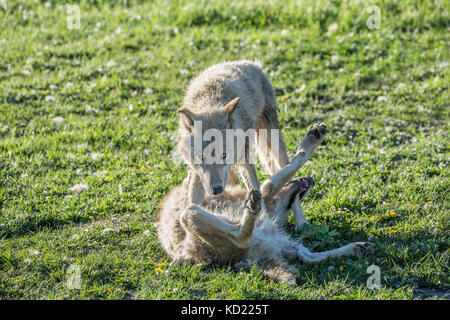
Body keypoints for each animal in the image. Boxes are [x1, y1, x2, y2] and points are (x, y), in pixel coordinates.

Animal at [158, 123, 376, 284]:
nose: (310, 180)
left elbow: (272, 181)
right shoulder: (259, 194)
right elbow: (272, 182)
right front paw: (311, 140)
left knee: (306, 255)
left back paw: (359, 247)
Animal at [176, 60, 310, 229]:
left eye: (224, 155)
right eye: (202, 158)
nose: (217, 189)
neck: (209, 103)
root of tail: (249, 63)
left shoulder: (245, 159)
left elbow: (255, 190)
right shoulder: (198, 171)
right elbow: (193, 199)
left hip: (271, 142)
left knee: (288, 171)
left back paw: (301, 221)